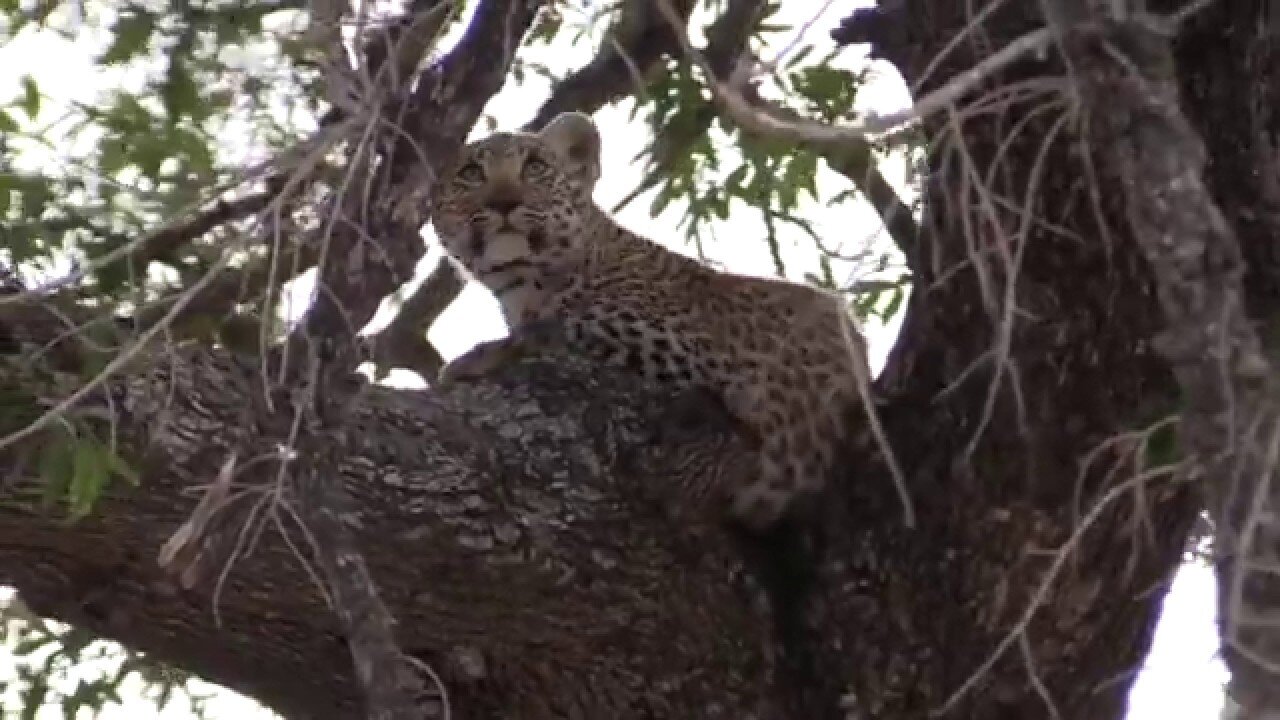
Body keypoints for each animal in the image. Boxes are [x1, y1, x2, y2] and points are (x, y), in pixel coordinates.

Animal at [424, 109, 906, 530]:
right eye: (471, 173)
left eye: (536, 167)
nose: (505, 202)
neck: (525, 287)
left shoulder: (682, 348)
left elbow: (560, 327)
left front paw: (475, 358)